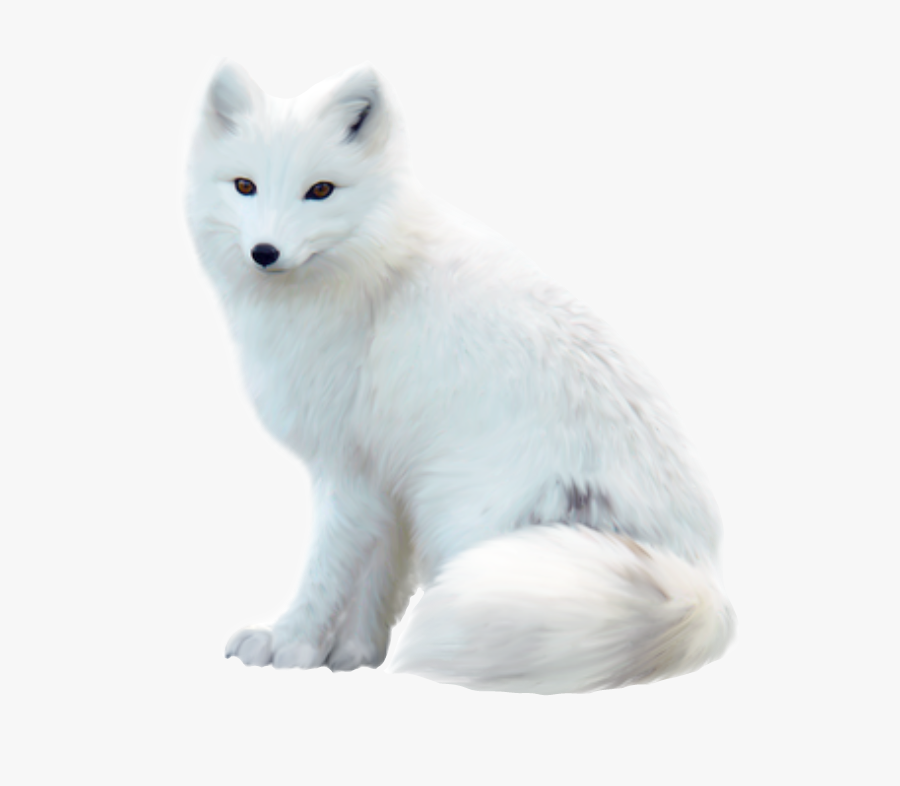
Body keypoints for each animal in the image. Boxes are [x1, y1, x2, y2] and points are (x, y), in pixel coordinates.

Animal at [185, 61, 735, 694]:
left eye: (320, 190)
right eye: (243, 185)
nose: (264, 252)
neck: (371, 272)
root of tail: (704, 580)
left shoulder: (346, 469)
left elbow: (327, 571)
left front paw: (291, 645)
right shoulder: (385, 477)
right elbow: (376, 579)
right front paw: (354, 655)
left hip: (468, 524)